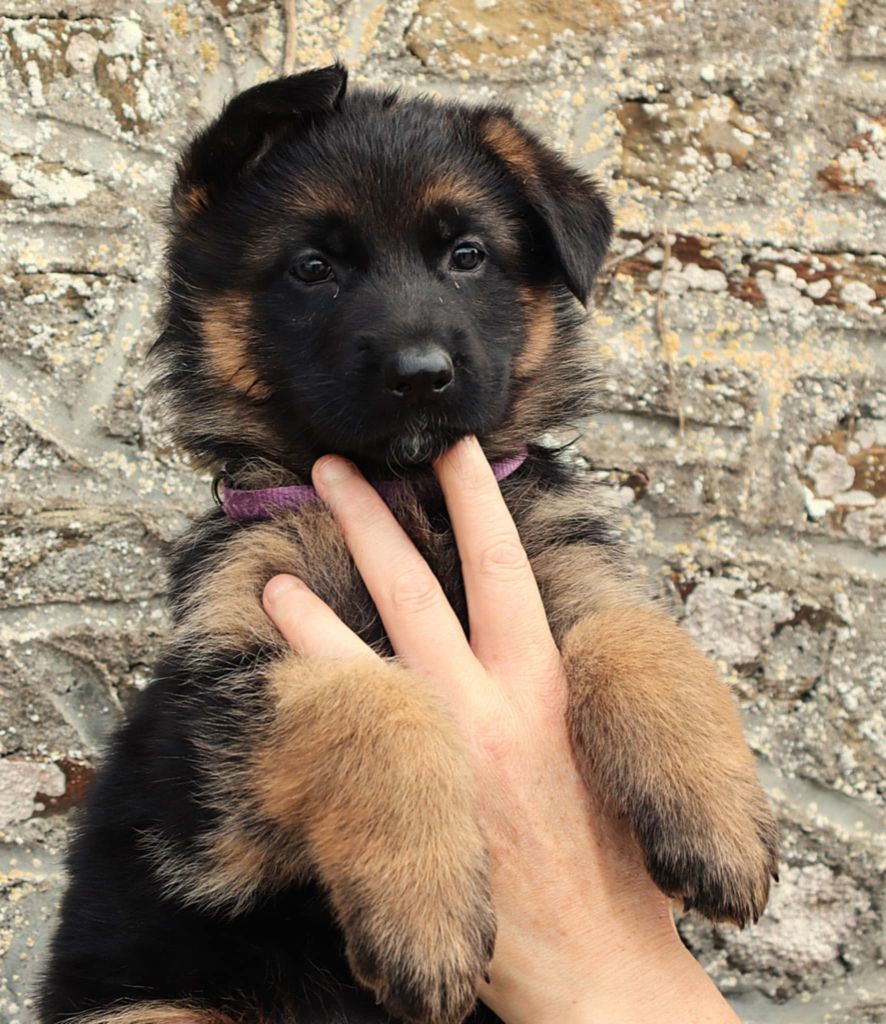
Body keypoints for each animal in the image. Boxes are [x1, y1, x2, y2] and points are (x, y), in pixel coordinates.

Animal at [39, 64, 778, 1024]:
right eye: (313, 268)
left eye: (466, 256)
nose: (422, 374)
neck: (407, 492)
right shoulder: (218, 753)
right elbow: (370, 698)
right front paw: (424, 918)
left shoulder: (563, 558)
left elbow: (641, 633)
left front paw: (717, 818)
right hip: (159, 1005)